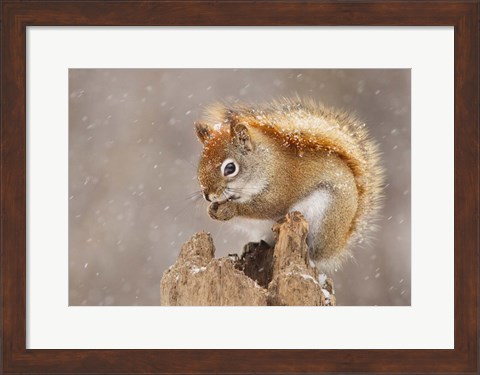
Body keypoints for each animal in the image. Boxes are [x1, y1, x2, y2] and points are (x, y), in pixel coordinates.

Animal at [193, 98, 384, 272]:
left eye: (230, 168)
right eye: (200, 164)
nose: (208, 195)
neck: (266, 163)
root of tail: (338, 245)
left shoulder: (281, 187)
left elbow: (266, 207)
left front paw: (230, 209)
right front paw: (212, 210)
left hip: (324, 218)